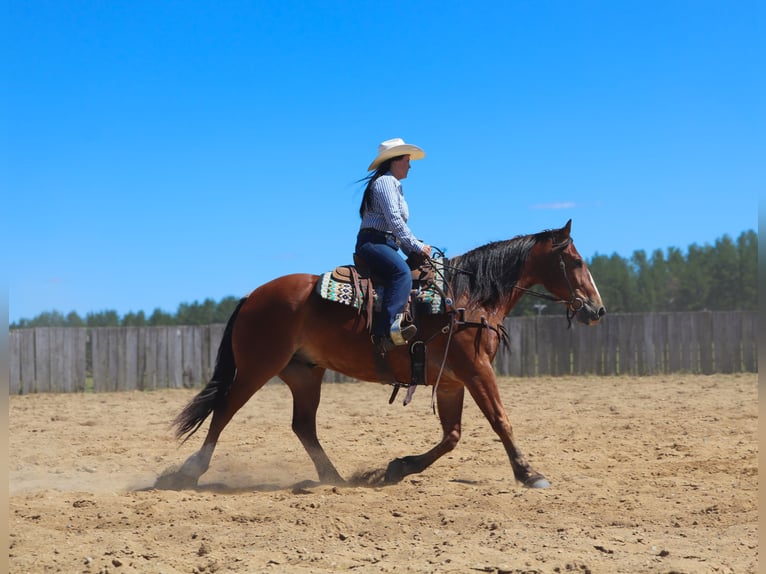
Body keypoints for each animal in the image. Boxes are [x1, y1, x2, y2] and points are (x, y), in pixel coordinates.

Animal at [159, 219, 608, 490]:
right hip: (257, 368)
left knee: (303, 426)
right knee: (224, 411)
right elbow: (500, 421)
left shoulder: (451, 381)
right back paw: (189, 473)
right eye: (575, 260)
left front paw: (398, 467)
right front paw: (529, 473)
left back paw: (334, 477)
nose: (597, 310)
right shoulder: (476, 370)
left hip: (304, 374)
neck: (467, 299)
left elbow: (452, 436)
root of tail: (253, 296)